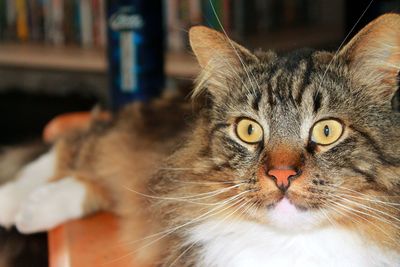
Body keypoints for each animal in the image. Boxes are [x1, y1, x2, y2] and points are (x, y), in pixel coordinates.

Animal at [0, 13, 400, 266]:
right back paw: (14, 204)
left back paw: (35, 209)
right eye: (249, 130)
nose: (281, 176)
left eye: (326, 130)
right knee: (71, 147)